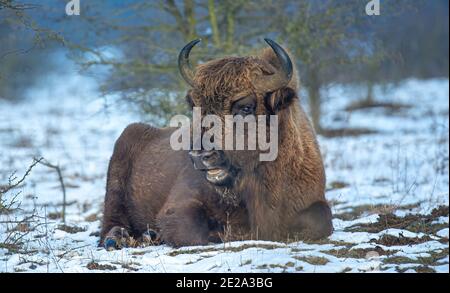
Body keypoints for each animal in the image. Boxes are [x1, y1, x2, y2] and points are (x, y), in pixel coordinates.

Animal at [100, 38, 332, 249]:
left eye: (245, 107)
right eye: (196, 106)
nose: (200, 156)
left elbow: (322, 220)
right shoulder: (179, 206)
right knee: (110, 226)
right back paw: (122, 238)